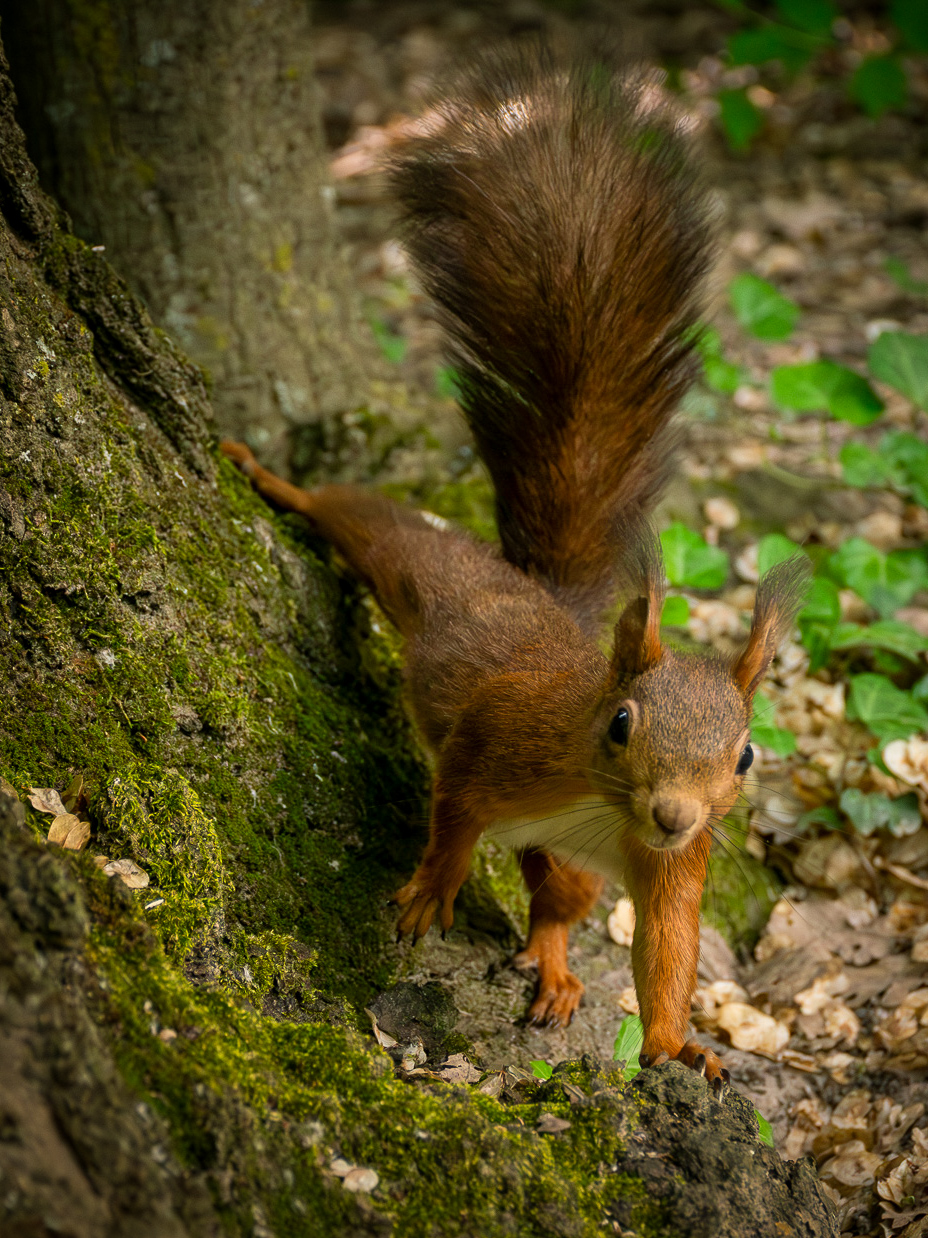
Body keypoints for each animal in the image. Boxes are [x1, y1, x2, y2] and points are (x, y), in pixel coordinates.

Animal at [221, 49, 809, 1085]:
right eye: (621, 724)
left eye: (746, 756)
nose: (674, 814)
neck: (603, 801)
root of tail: (536, 596)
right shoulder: (496, 746)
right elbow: (452, 813)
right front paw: (431, 890)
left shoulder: (676, 869)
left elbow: (668, 952)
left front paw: (674, 1044)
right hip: (420, 563)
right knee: (354, 516)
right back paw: (275, 481)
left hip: (571, 860)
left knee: (558, 900)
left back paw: (556, 969)